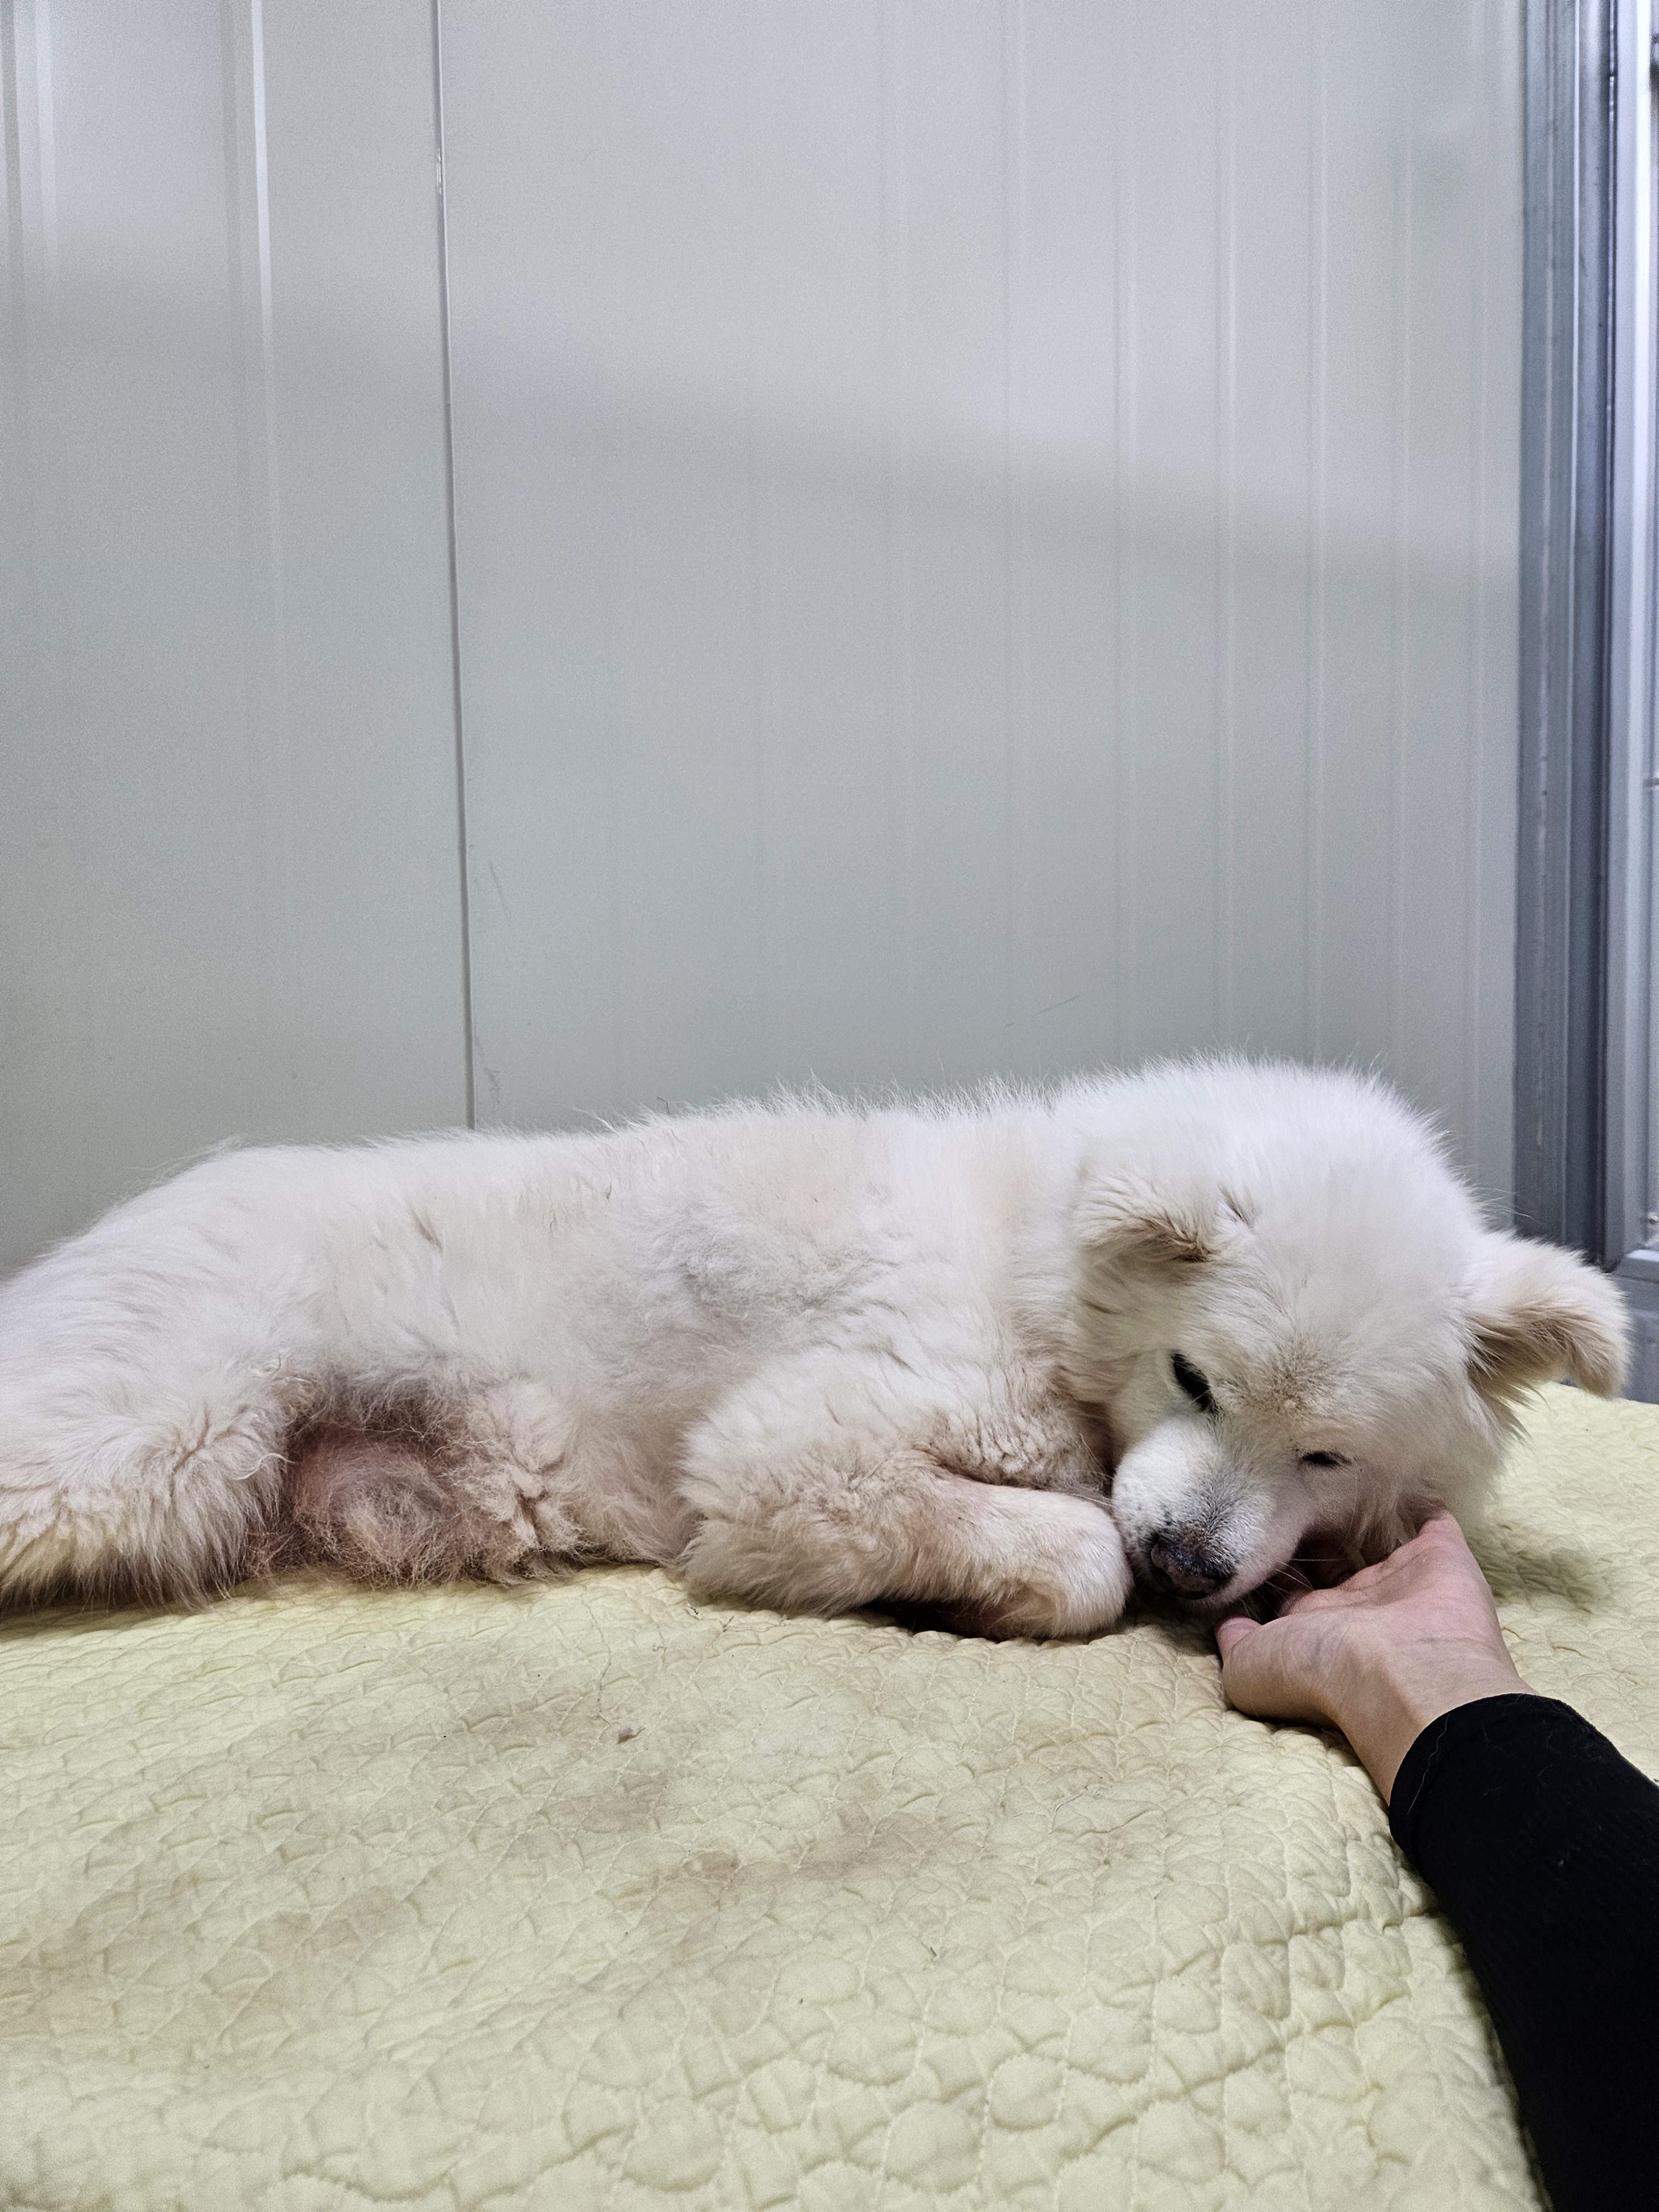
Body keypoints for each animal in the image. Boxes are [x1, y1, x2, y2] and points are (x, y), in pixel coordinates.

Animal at [0, 1059, 1627, 1634]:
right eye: (1194, 1379)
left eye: (1326, 1453)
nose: (1186, 1565)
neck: (1039, 1279)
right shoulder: (786, 1450)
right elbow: (1073, 1554)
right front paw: (1005, 1591)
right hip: (144, 1450)